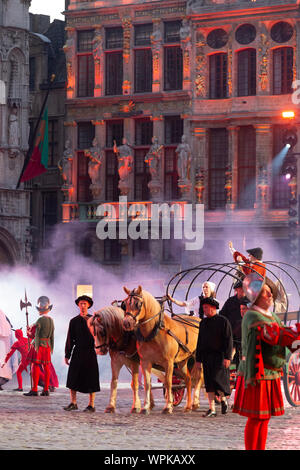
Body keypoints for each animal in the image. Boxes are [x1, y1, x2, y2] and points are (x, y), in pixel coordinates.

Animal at [122, 286, 204, 414]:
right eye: (125, 304)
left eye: (138, 304)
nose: (127, 322)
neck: (155, 332)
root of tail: (198, 320)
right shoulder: (145, 362)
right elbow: (147, 383)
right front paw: (146, 407)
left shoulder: (169, 362)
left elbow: (168, 382)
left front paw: (168, 406)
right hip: (182, 361)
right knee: (188, 379)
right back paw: (188, 406)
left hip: (198, 358)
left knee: (199, 377)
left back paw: (195, 402)